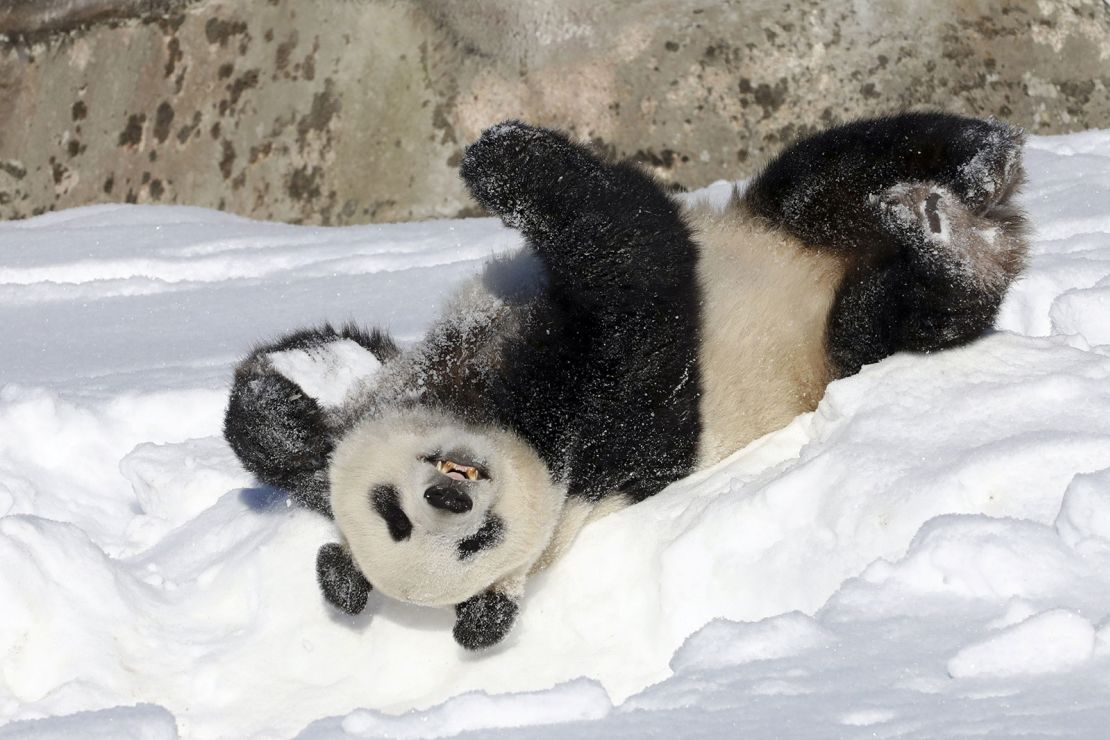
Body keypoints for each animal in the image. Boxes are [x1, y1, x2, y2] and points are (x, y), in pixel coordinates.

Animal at [220, 111, 1025, 647]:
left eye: (391, 511)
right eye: (469, 546)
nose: (450, 496)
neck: (490, 403)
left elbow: (294, 418)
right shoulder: (610, 431)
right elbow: (636, 267)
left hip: (787, 223)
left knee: (834, 167)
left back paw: (975, 165)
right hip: (842, 340)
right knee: (903, 312)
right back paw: (950, 242)